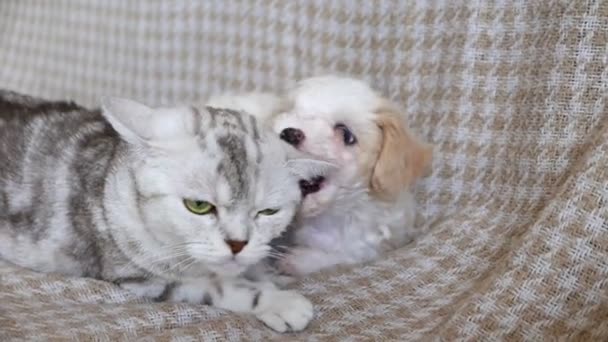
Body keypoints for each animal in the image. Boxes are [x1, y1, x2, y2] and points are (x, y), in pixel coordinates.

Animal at [0, 90, 332, 332]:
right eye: (198, 206)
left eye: (268, 212)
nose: (237, 244)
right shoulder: (138, 278)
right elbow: (217, 286)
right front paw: (278, 301)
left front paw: (268, 274)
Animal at [208, 76, 432, 276]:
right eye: (289, 111)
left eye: (346, 134)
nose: (289, 133)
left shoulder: (377, 241)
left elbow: (348, 253)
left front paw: (296, 260)